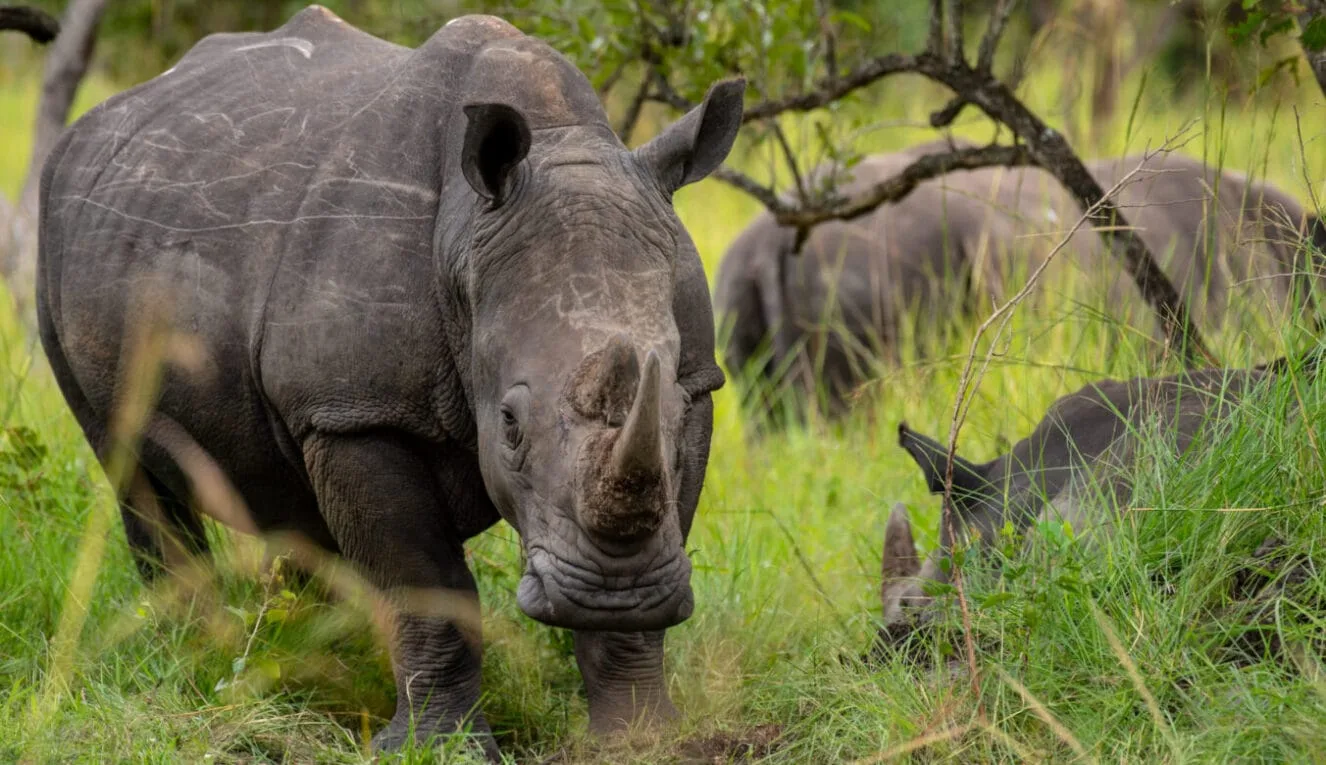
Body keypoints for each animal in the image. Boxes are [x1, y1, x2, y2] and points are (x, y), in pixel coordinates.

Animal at [36, 7, 743, 755]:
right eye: (510, 426)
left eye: (673, 408)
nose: (613, 591)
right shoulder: (358, 412)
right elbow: (428, 584)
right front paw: (438, 749)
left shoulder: (700, 380)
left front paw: (641, 737)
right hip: (62, 233)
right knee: (130, 462)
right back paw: (192, 653)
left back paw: (303, 648)